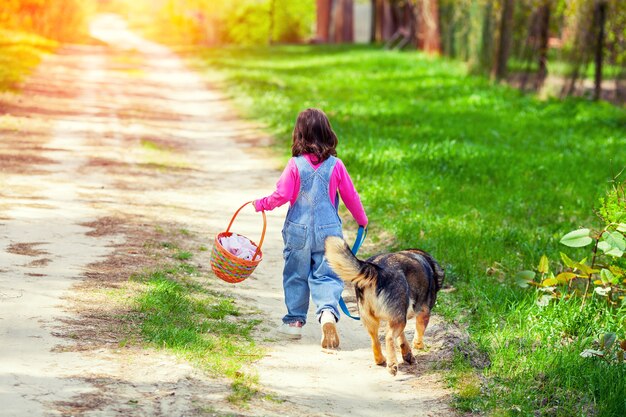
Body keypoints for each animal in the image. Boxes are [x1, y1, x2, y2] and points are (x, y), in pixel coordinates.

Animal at [324, 236, 442, 376]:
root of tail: (377, 270)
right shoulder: (422, 313)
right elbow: (419, 331)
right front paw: (418, 345)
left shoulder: (398, 316)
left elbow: (402, 339)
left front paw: (407, 354)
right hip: (399, 320)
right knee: (389, 337)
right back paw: (392, 365)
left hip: (373, 320)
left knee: (375, 341)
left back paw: (380, 360)